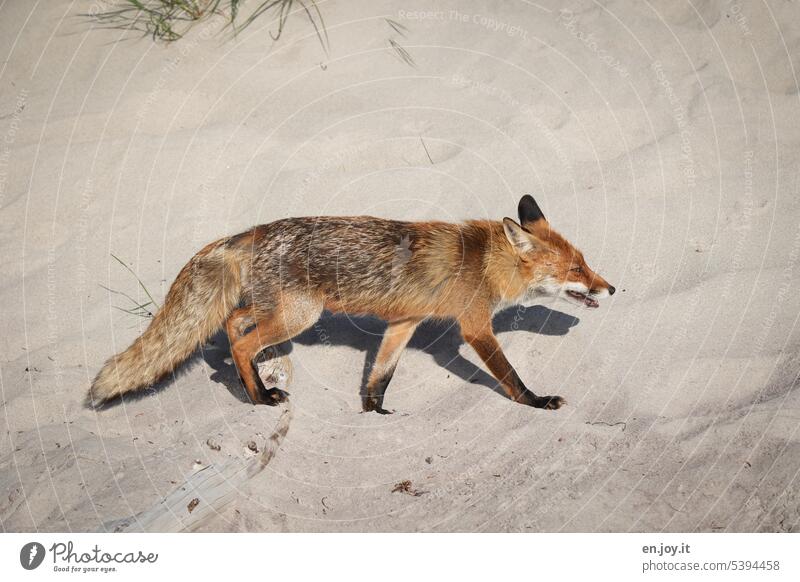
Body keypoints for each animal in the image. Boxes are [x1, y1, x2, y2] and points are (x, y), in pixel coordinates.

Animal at [92, 197, 612, 416]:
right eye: (576, 270)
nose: (612, 289)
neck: (483, 262)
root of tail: (254, 231)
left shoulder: (404, 322)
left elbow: (381, 374)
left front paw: (373, 411)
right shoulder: (475, 327)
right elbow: (510, 377)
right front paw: (538, 402)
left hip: (280, 312)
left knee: (234, 321)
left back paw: (246, 376)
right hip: (301, 317)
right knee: (241, 340)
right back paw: (258, 396)